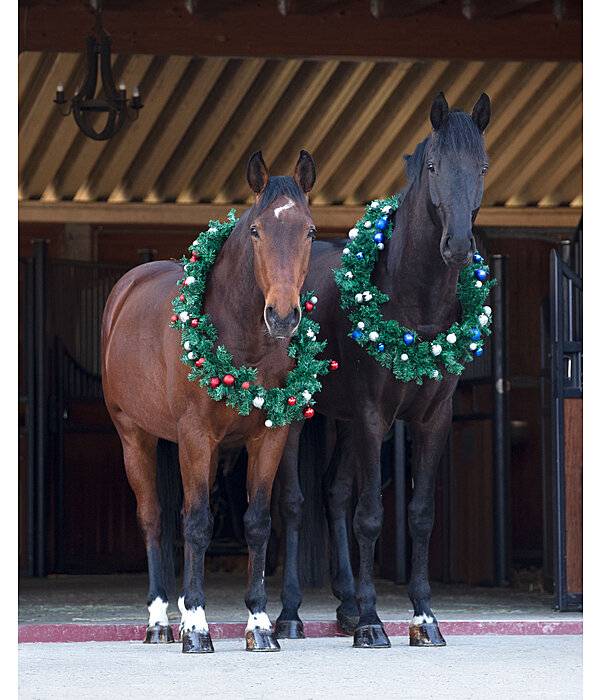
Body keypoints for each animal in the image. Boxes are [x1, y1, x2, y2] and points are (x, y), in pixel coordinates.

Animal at [102, 150, 318, 652]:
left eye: (310, 231)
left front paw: (259, 623)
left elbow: (257, 522)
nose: (283, 316)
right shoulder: (196, 436)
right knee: (154, 518)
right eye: (256, 231)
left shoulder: (268, 436)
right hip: (134, 436)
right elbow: (198, 523)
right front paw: (197, 624)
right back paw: (160, 619)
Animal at [276, 91, 492, 644]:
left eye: (482, 166)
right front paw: (375, 623)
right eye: (434, 166)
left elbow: (420, 515)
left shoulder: (431, 419)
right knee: (292, 502)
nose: (458, 247)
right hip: (301, 417)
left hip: (347, 422)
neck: (415, 303)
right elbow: (371, 515)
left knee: (333, 492)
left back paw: (347, 605)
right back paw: (289, 614)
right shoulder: (374, 415)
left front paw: (424, 618)